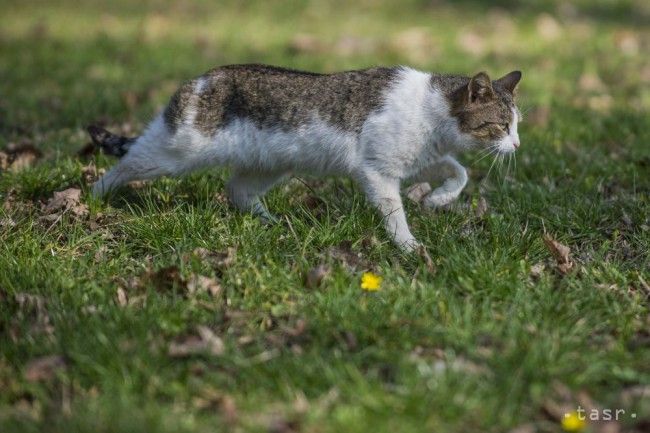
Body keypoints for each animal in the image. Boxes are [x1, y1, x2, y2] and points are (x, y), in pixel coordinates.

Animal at [87, 63, 520, 250]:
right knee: (126, 161)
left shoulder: (421, 160)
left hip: (271, 165)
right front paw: (409, 246)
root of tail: (197, 80)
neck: (433, 113)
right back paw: (93, 200)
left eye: (517, 125)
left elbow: (459, 172)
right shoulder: (377, 172)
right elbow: (395, 214)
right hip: (175, 150)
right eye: (501, 126)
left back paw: (273, 223)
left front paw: (437, 199)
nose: (516, 146)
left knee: (237, 189)